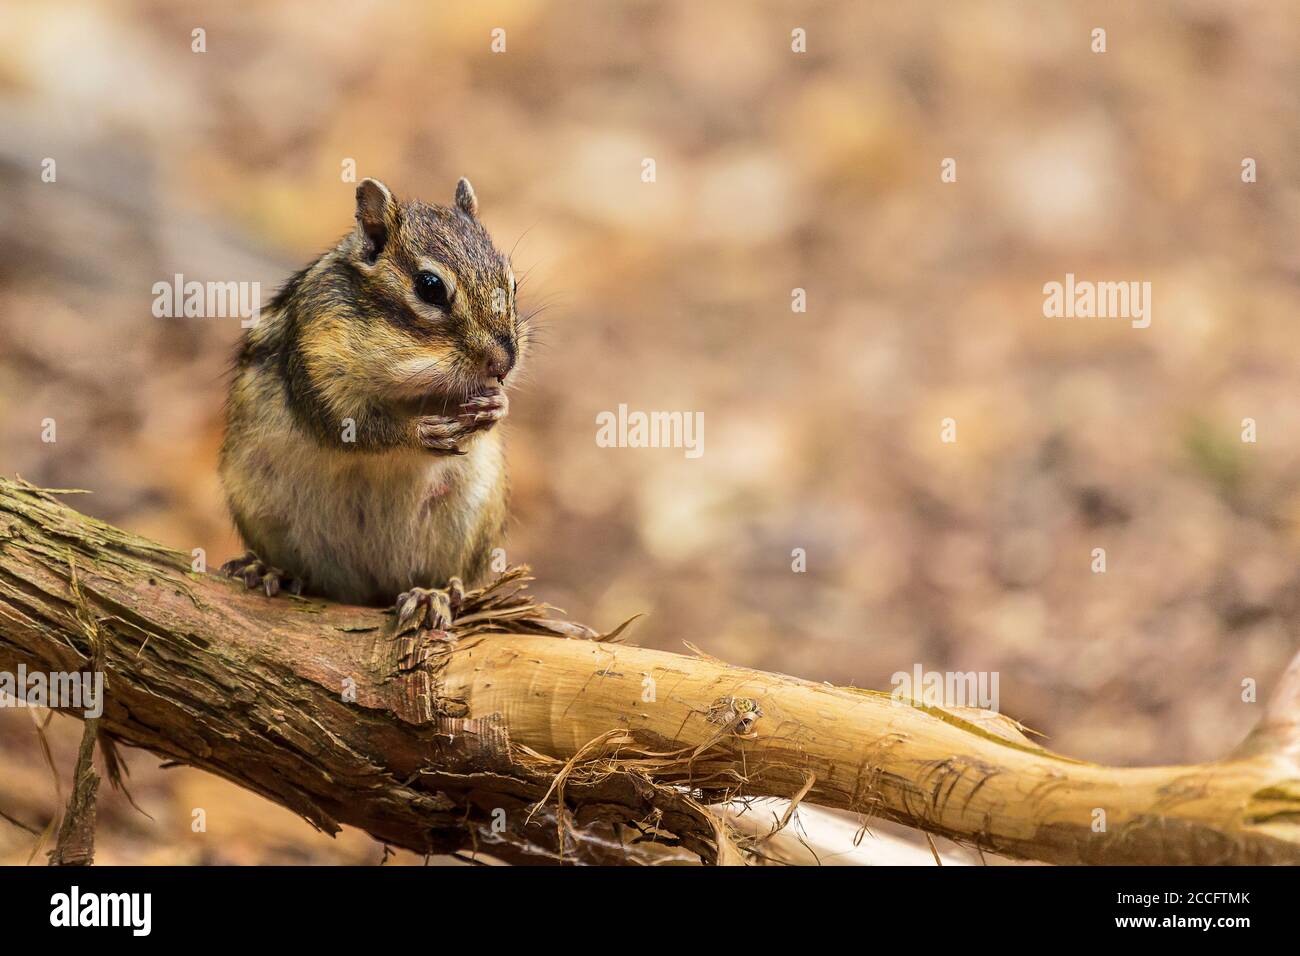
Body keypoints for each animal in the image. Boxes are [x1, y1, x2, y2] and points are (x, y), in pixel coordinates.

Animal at [218, 177, 522, 633]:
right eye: (430, 287)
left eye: (512, 282)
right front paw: (420, 432)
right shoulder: (316, 364)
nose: (504, 364)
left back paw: (430, 594)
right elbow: (351, 427)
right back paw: (271, 571)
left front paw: (496, 407)